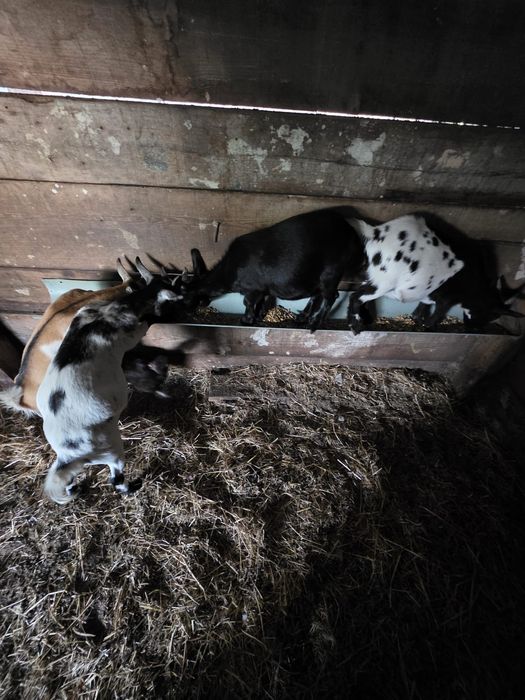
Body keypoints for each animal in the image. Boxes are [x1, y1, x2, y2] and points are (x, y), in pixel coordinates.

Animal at [37, 278, 180, 504]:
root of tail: (69, 453)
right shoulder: (131, 333)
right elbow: (144, 325)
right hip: (111, 450)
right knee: (116, 478)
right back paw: (133, 486)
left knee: (67, 480)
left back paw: (75, 490)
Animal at [183, 209, 366, 332]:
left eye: (184, 296)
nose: (187, 312)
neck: (230, 270)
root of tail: (350, 231)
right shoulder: (263, 288)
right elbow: (263, 301)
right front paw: (258, 316)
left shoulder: (253, 288)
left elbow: (248, 303)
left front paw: (246, 320)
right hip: (317, 275)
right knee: (317, 295)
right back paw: (301, 317)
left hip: (331, 272)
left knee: (331, 296)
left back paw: (314, 323)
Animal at [345, 214, 524, 332]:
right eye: (492, 315)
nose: (472, 328)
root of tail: (375, 232)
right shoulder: (447, 298)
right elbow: (438, 312)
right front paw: (428, 326)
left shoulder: (429, 290)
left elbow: (423, 305)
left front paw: (417, 319)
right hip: (383, 282)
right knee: (356, 296)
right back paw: (355, 326)